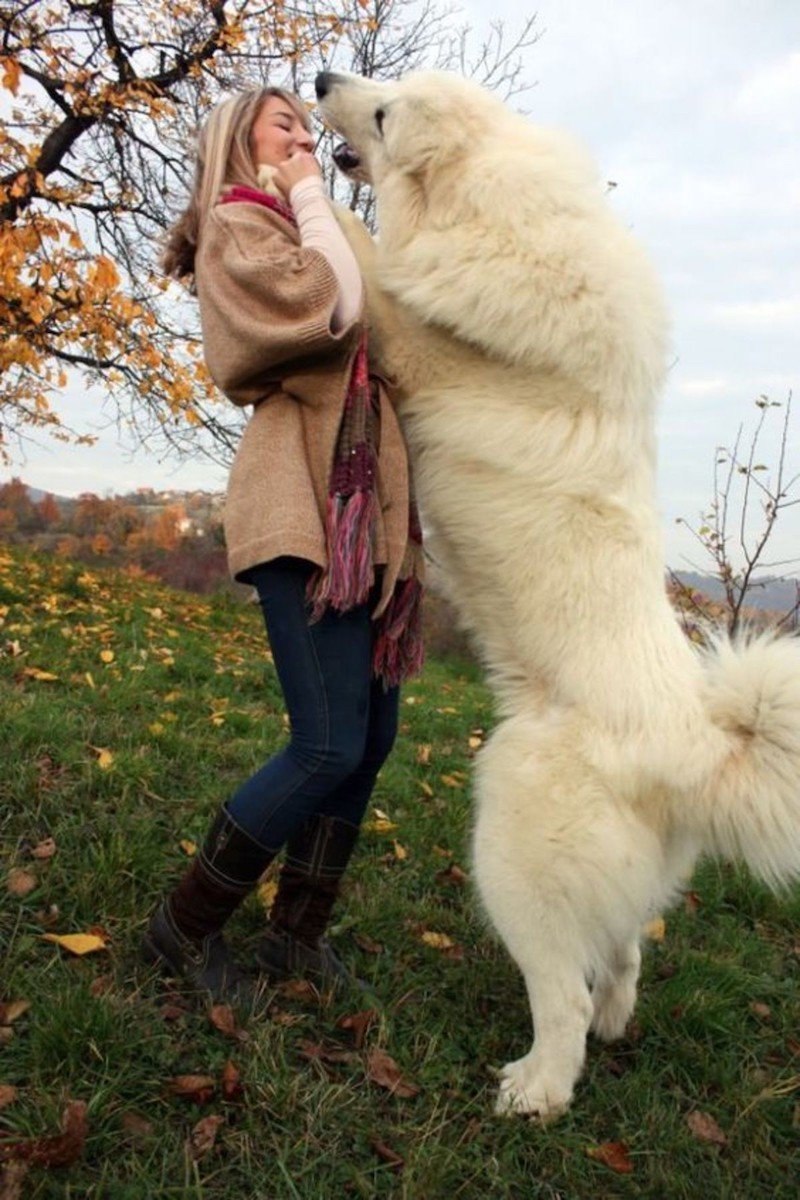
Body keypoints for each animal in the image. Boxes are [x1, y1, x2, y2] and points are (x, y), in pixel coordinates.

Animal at [316, 70, 800, 1118]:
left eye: (385, 113)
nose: (326, 80)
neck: (497, 215)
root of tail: (697, 749)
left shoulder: (417, 334)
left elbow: (370, 257)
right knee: (621, 958)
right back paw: (614, 1024)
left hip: (510, 841)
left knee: (564, 996)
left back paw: (535, 1090)